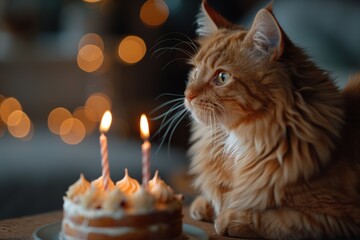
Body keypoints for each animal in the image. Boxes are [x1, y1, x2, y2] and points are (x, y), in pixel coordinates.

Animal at [186, 1, 360, 238]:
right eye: (195, 71)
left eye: (222, 77)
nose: (187, 95)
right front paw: (205, 204)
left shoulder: (339, 218)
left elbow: (279, 219)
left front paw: (229, 217)